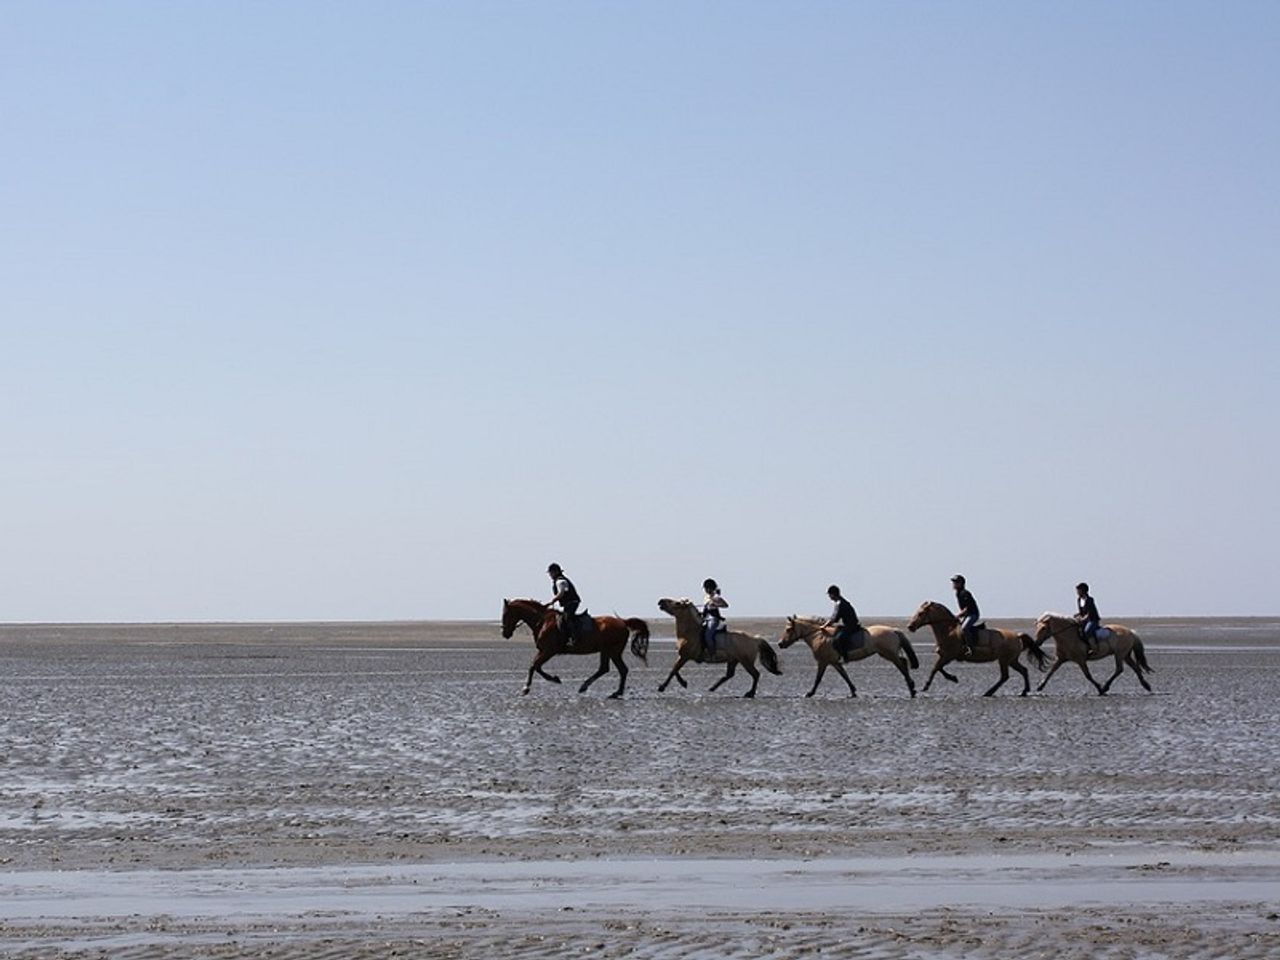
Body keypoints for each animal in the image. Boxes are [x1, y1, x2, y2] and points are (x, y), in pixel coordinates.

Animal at [499, 601, 650, 701]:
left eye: (505, 614)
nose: (505, 634)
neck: (542, 621)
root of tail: (623, 623)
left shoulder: (548, 651)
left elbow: (534, 666)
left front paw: (527, 688)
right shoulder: (544, 651)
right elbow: (536, 666)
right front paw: (554, 679)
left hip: (613, 651)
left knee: (619, 669)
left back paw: (613, 692)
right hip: (607, 651)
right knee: (608, 669)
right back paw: (599, 689)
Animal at [773, 616, 916, 701]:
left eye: (788, 629)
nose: (780, 644)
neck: (818, 636)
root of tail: (894, 630)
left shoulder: (823, 662)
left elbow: (818, 679)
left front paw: (809, 693)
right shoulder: (835, 662)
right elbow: (845, 676)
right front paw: (853, 692)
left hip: (888, 654)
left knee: (902, 665)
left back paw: (912, 688)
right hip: (888, 654)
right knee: (903, 663)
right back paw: (911, 688)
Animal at [906, 601, 1044, 701]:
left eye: (921, 613)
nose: (910, 626)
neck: (948, 630)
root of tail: (1017, 636)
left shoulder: (948, 656)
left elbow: (935, 668)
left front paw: (926, 686)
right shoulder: (945, 656)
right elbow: (939, 668)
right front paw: (953, 678)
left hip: (1005, 660)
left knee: (1005, 676)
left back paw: (989, 692)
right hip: (1011, 660)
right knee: (1023, 671)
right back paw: (1023, 691)